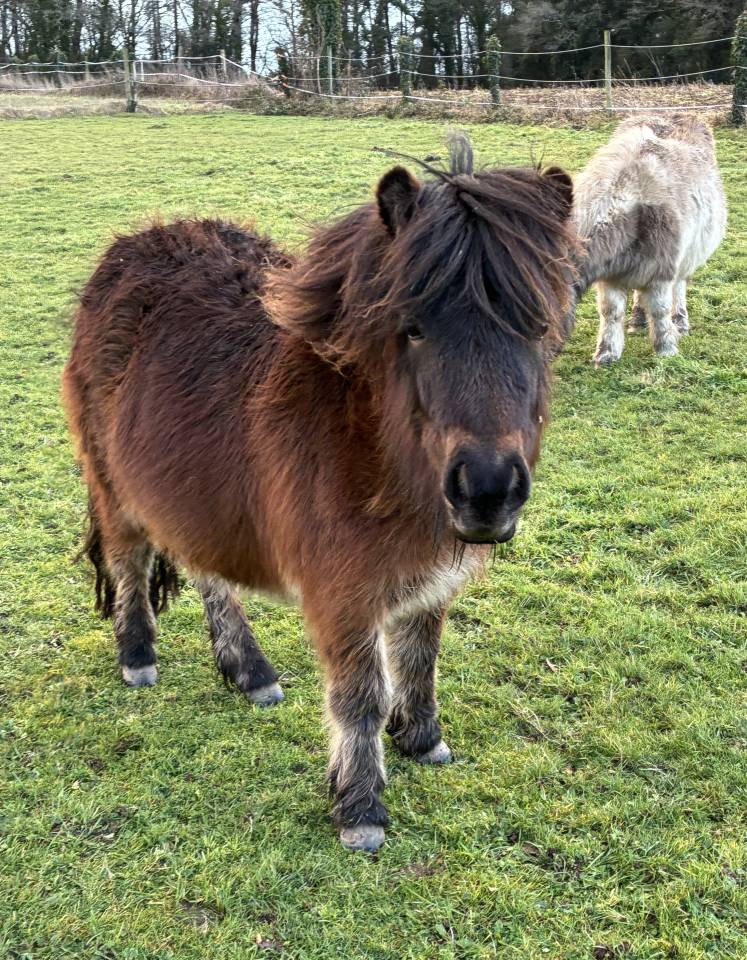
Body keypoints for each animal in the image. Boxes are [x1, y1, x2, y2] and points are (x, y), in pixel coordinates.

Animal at [63, 135, 576, 852]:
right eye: (413, 328)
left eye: (537, 327)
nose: (488, 489)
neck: (367, 446)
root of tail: (131, 245)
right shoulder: (343, 595)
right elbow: (361, 697)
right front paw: (360, 809)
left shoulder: (428, 581)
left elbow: (419, 660)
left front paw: (423, 739)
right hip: (113, 488)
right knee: (129, 561)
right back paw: (138, 655)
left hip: (193, 492)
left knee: (204, 567)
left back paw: (249, 671)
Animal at [570, 115, 726, 365]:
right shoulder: (610, 277)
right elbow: (610, 312)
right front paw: (607, 353)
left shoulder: (661, 271)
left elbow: (660, 309)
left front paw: (666, 348)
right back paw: (637, 320)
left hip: (685, 258)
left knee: (679, 287)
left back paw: (680, 322)